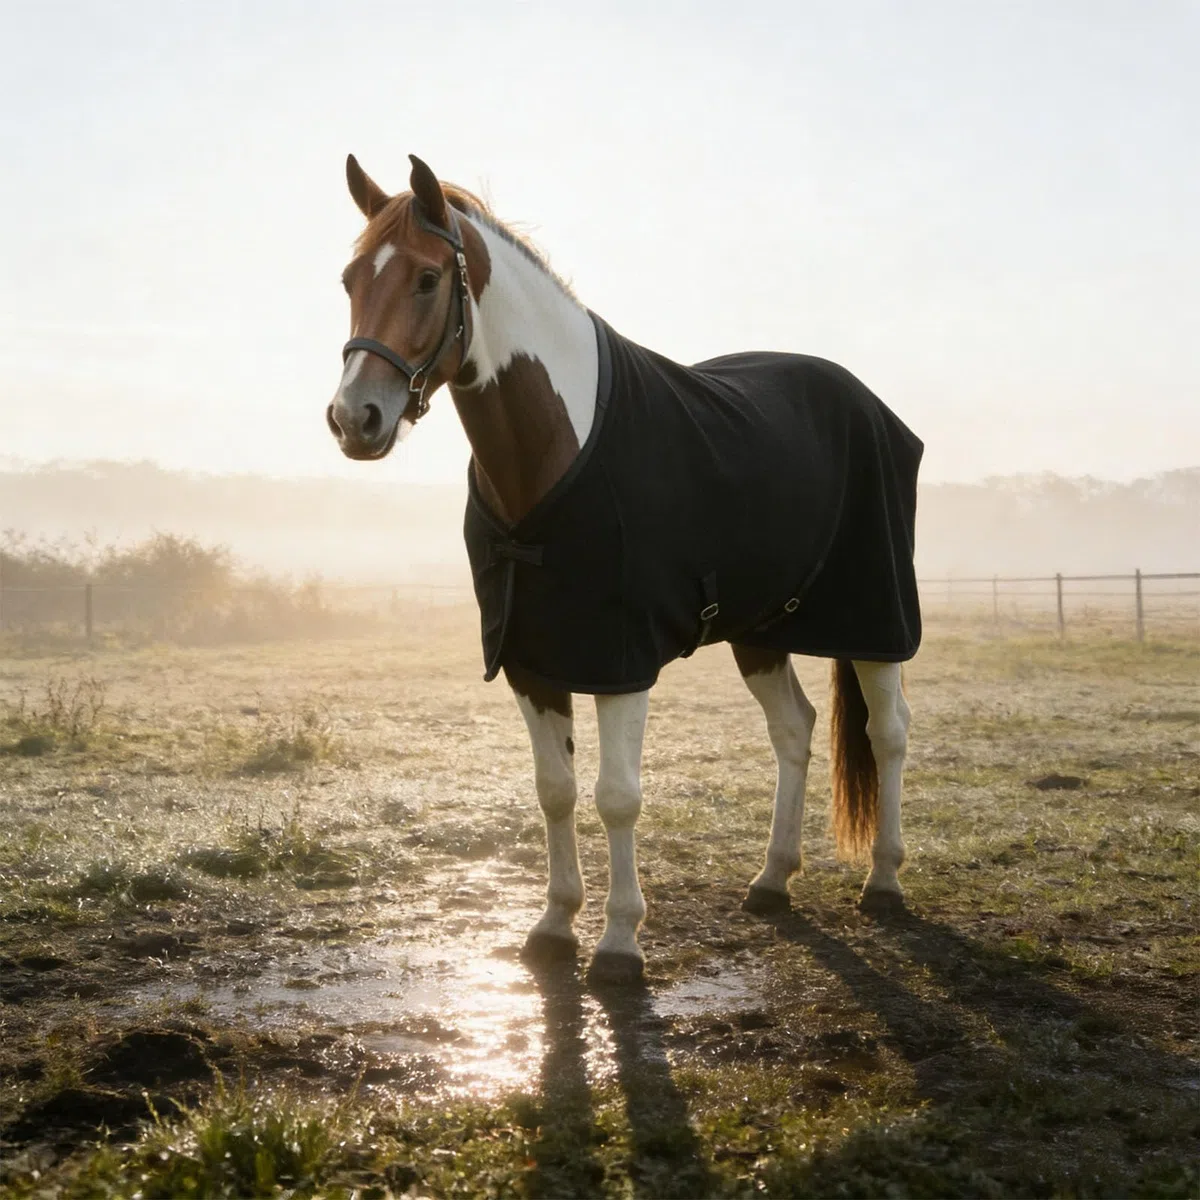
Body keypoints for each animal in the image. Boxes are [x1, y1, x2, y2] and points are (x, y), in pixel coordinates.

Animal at [327, 154, 922, 985]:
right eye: (350, 279)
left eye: (424, 278)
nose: (355, 419)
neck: (555, 449)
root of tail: (863, 399)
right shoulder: (531, 663)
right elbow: (554, 791)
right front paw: (553, 925)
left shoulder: (621, 663)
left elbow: (616, 796)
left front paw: (617, 943)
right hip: (761, 631)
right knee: (794, 730)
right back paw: (772, 879)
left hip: (876, 618)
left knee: (889, 731)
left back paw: (885, 881)